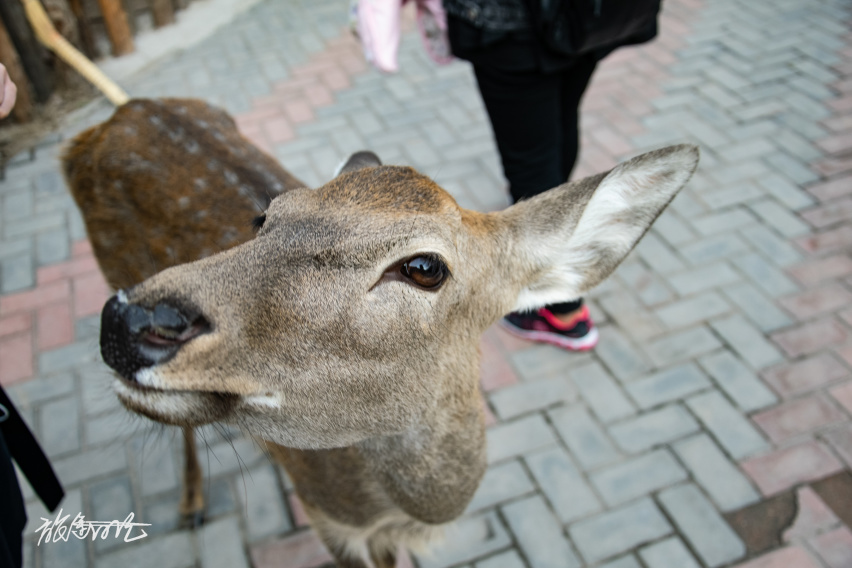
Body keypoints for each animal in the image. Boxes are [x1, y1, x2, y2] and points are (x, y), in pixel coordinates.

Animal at [93, 143, 696, 568]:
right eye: (264, 218)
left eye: (424, 267)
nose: (132, 321)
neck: (408, 510)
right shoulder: (331, 522)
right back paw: (190, 504)